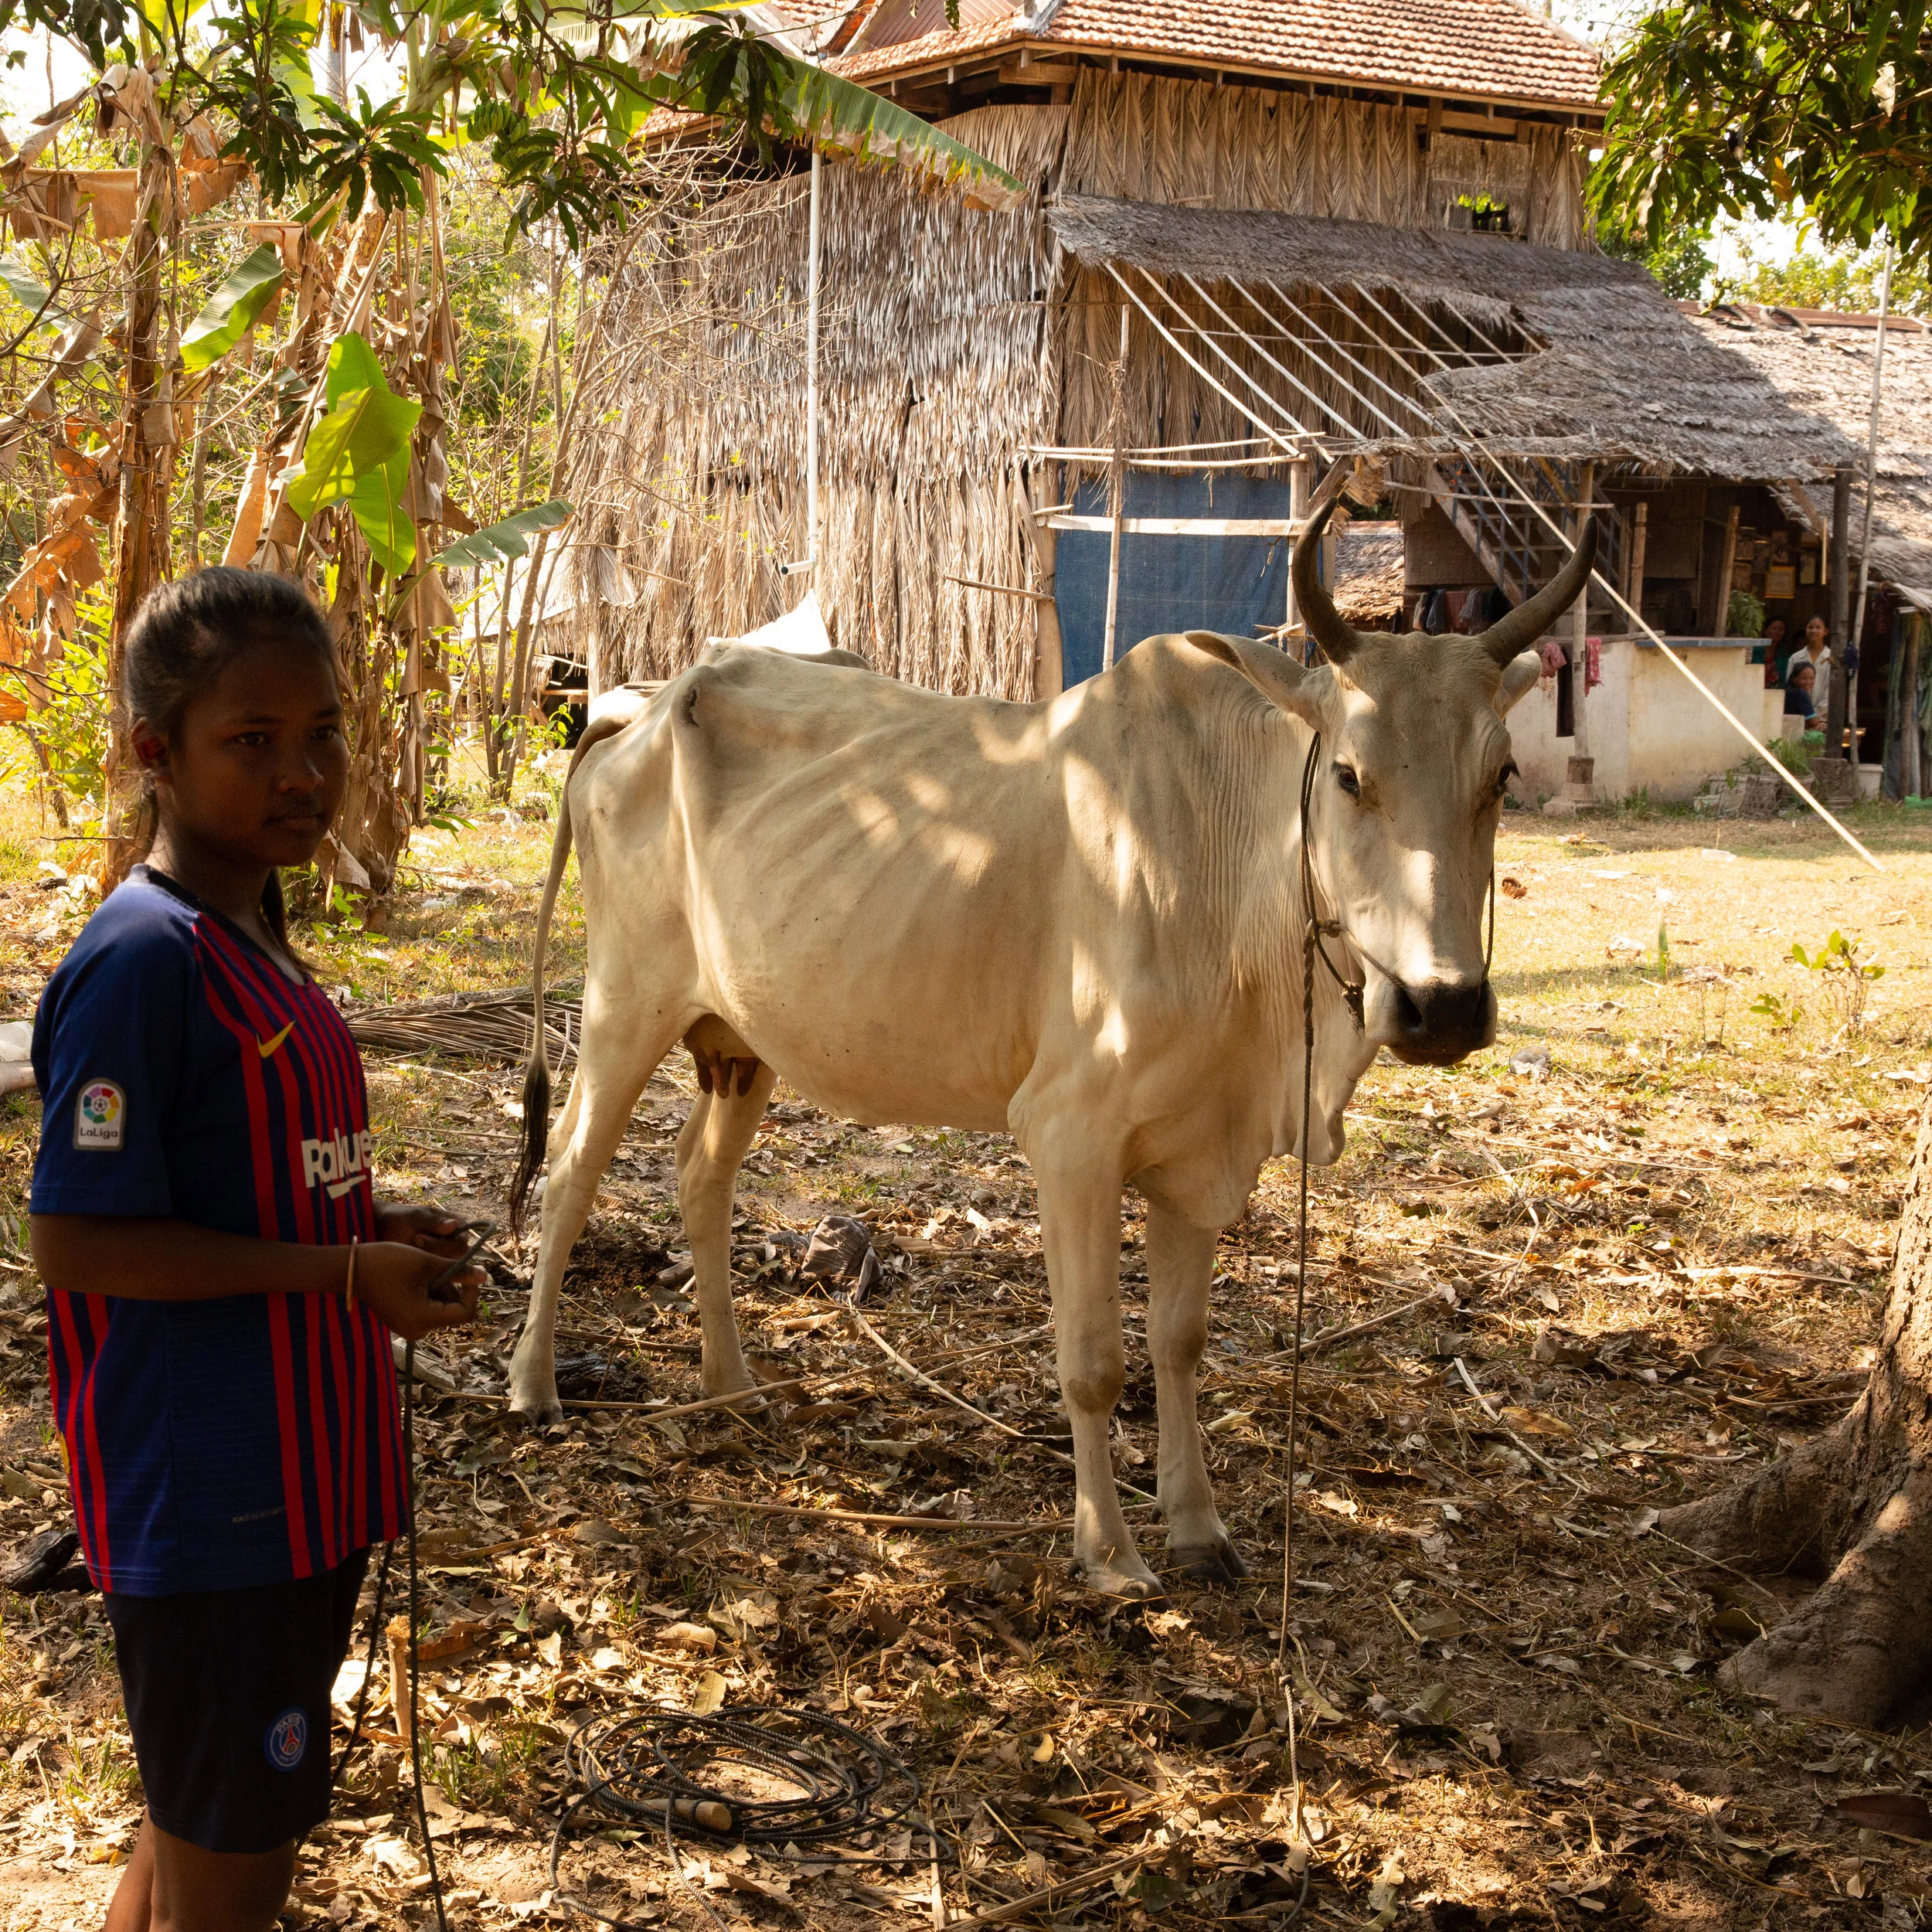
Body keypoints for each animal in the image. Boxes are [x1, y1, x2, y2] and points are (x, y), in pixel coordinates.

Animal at [505, 501, 1597, 1599]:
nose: (1441, 1007)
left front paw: (1197, 1527)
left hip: (739, 1040)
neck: (1230, 874)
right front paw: (1108, 1552)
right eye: (1347, 774)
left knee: (700, 1175)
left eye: (1501, 774)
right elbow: (1094, 1362)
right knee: (569, 1170)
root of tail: (641, 703)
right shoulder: (1070, 1138)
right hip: (624, 1004)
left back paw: (730, 1385)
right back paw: (532, 1384)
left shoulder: (1200, 1149)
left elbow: (1180, 1342)